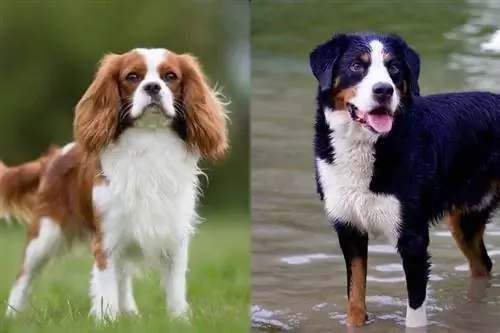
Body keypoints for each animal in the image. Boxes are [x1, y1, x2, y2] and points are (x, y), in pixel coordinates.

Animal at [1, 48, 228, 320]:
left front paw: (179, 320)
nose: (153, 87)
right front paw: (108, 320)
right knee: (23, 276)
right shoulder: (107, 238)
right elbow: (106, 286)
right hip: (45, 235)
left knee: (123, 276)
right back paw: (12, 316)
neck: (150, 141)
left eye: (170, 76)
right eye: (132, 77)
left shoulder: (174, 235)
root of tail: (54, 157)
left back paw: (130, 312)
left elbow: (175, 286)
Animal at [308, 31, 500, 326]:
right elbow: (355, 302)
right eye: (357, 66)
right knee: (483, 265)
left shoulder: (413, 238)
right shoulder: (349, 231)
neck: (367, 147)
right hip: (466, 219)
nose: (384, 90)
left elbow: (415, 314)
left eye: (394, 67)